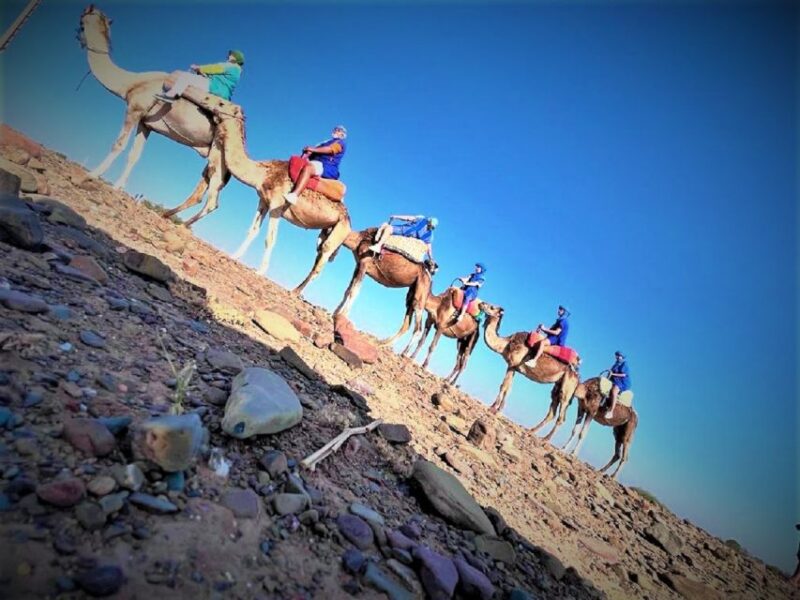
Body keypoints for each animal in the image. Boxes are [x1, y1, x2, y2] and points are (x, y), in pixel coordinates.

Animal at [77, 5, 229, 224]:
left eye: (82, 20)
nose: (78, 36)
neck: (130, 83)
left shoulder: (134, 109)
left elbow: (118, 145)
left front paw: (91, 175)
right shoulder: (146, 124)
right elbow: (134, 155)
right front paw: (117, 187)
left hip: (219, 155)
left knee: (213, 199)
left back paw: (182, 224)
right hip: (214, 157)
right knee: (204, 190)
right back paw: (169, 215)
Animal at [479, 302, 580, 441]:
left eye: (492, 307)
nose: (481, 303)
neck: (507, 343)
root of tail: (578, 378)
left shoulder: (512, 364)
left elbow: (504, 386)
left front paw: (493, 409)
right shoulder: (513, 367)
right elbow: (506, 388)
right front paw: (497, 409)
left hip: (567, 388)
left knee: (561, 416)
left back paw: (546, 439)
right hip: (558, 385)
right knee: (552, 411)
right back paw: (531, 430)